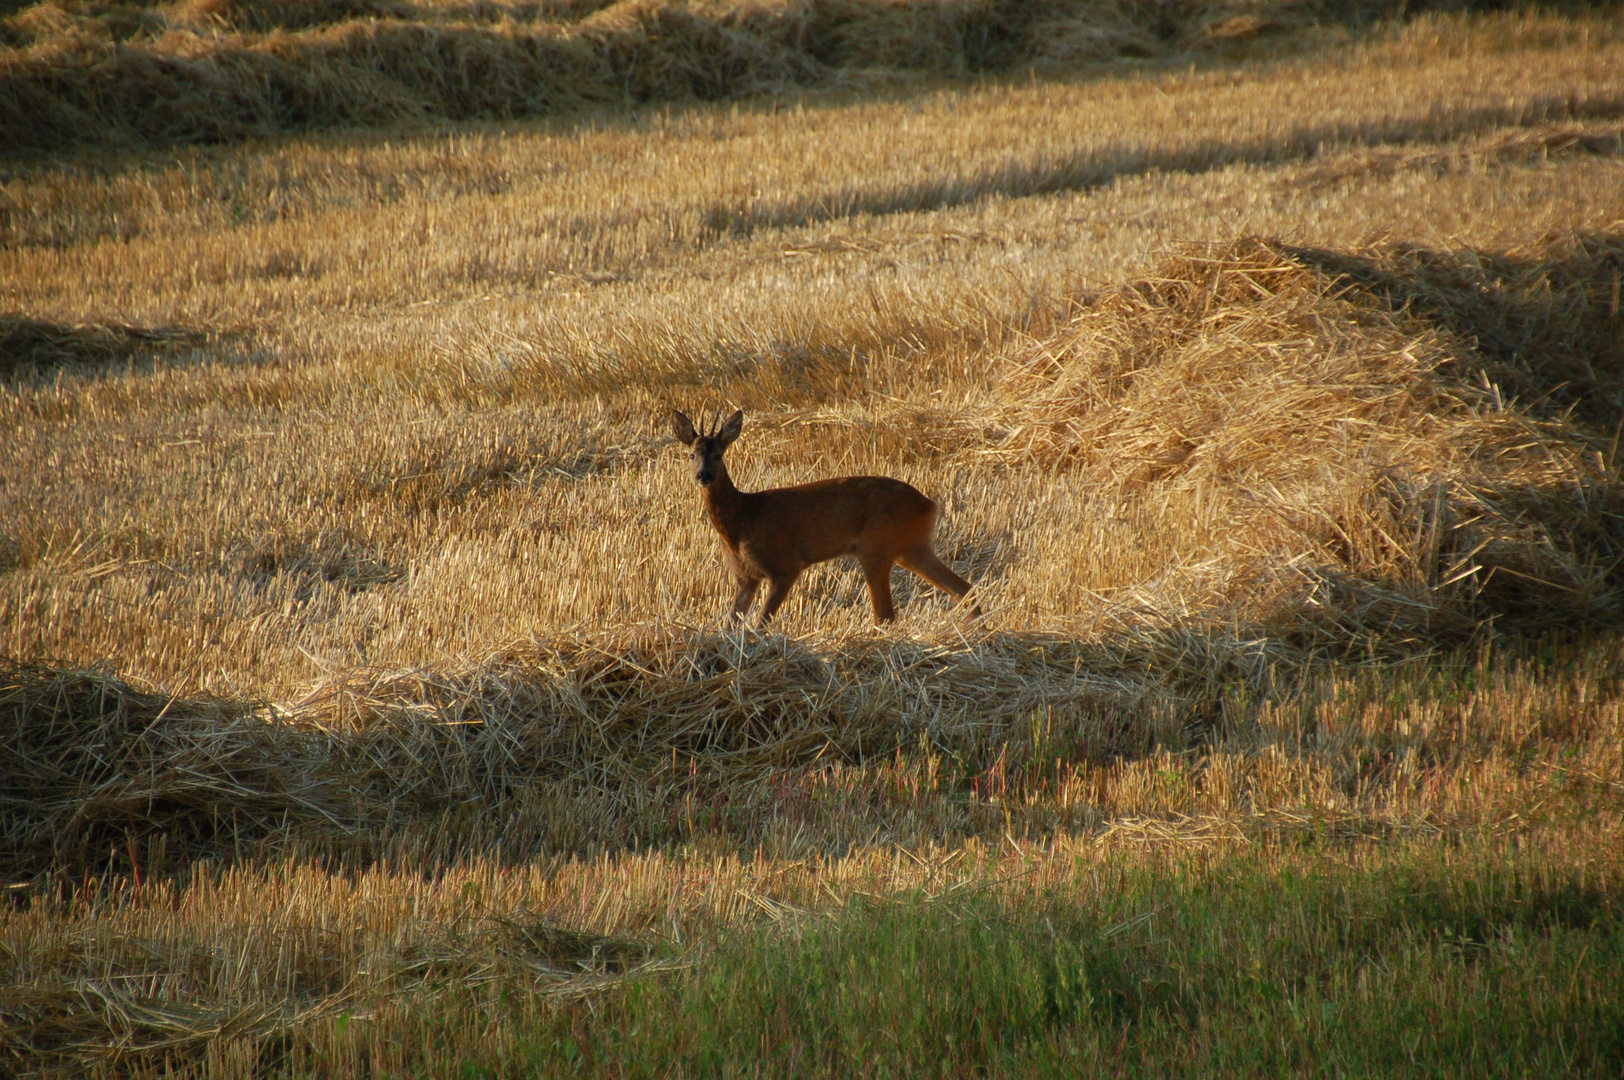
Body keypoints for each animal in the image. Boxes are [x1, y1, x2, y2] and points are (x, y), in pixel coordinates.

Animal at [669, 406, 974, 626]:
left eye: (718, 455)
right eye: (691, 455)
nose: (703, 476)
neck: (742, 518)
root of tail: (930, 505)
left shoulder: (785, 565)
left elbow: (762, 623)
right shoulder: (745, 576)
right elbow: (731, 624)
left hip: (876, 546)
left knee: (886, 614)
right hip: (911, 548)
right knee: (964, 589)